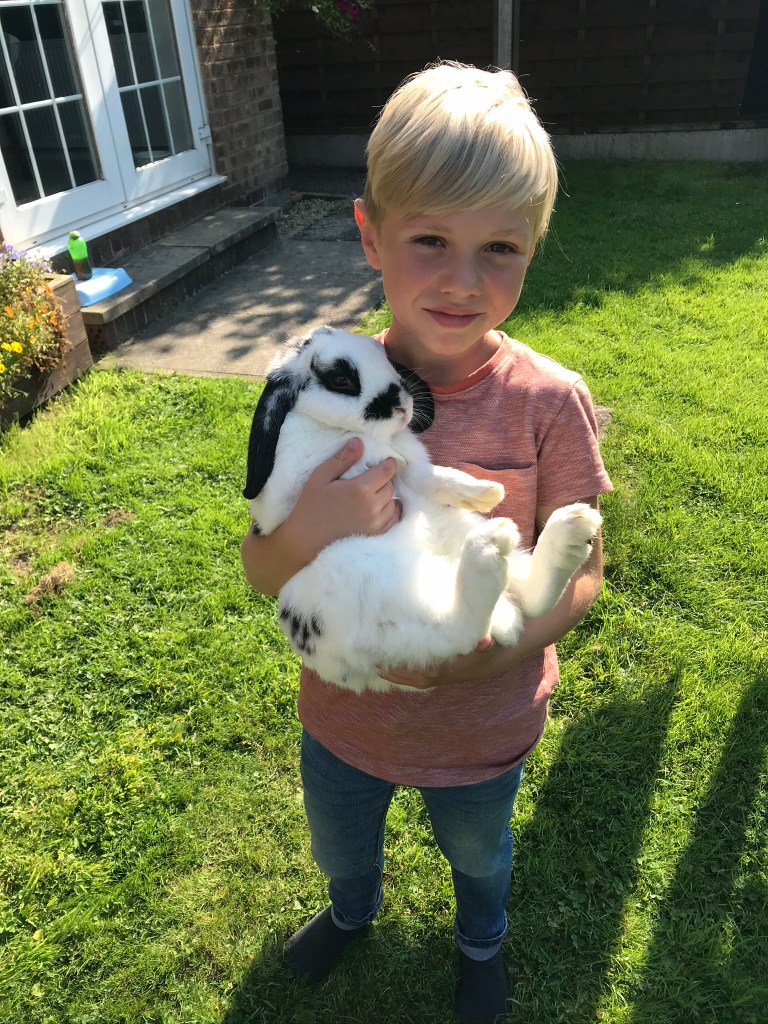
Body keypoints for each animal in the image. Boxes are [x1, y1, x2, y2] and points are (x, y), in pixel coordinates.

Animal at [243, 326, 602, 693]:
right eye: (341, 379)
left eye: (386, 359)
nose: (401, 403)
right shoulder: (296, 475)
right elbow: (367, 450)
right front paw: (390, 454)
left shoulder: (417, 474)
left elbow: (435, 476)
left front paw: (488, 492)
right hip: (377, 588)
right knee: (462, 630)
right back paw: (491, 547)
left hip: (454, 531)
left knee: (530, 596)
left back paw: (570, 530)